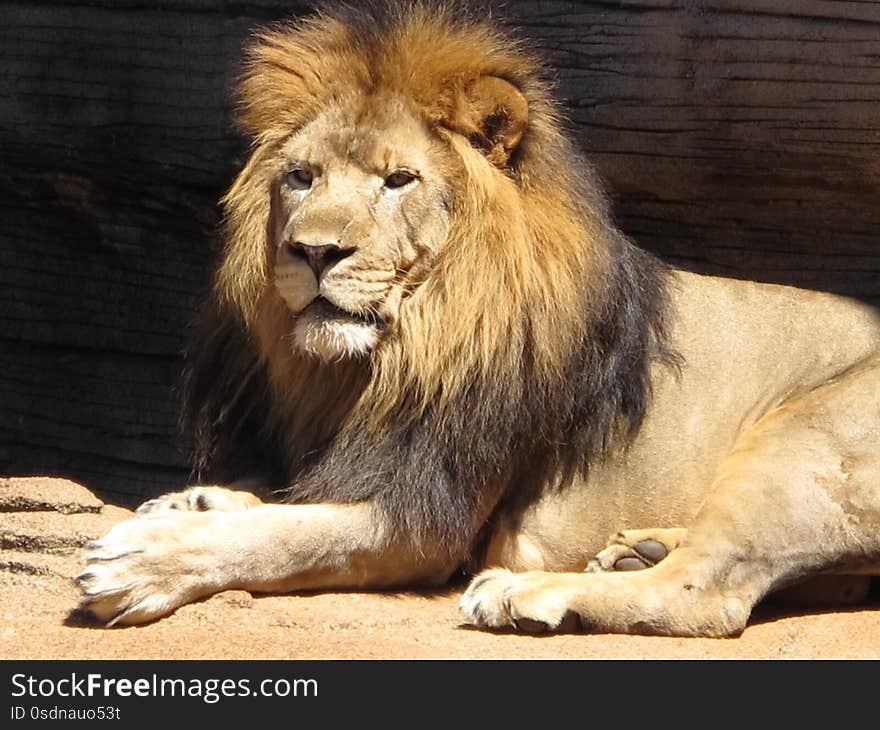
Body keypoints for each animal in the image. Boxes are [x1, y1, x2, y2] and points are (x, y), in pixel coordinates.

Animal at [75, 2, 880, 636]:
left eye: (399, 180)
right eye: (301, 177)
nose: (313, 251)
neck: (400, 345)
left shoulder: (424, 518)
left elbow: (285, 535)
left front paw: (147, 559)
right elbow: (280, 501)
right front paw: (195, 500)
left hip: (805, 437)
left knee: (707, 595)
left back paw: (532, 591)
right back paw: (637, 548)